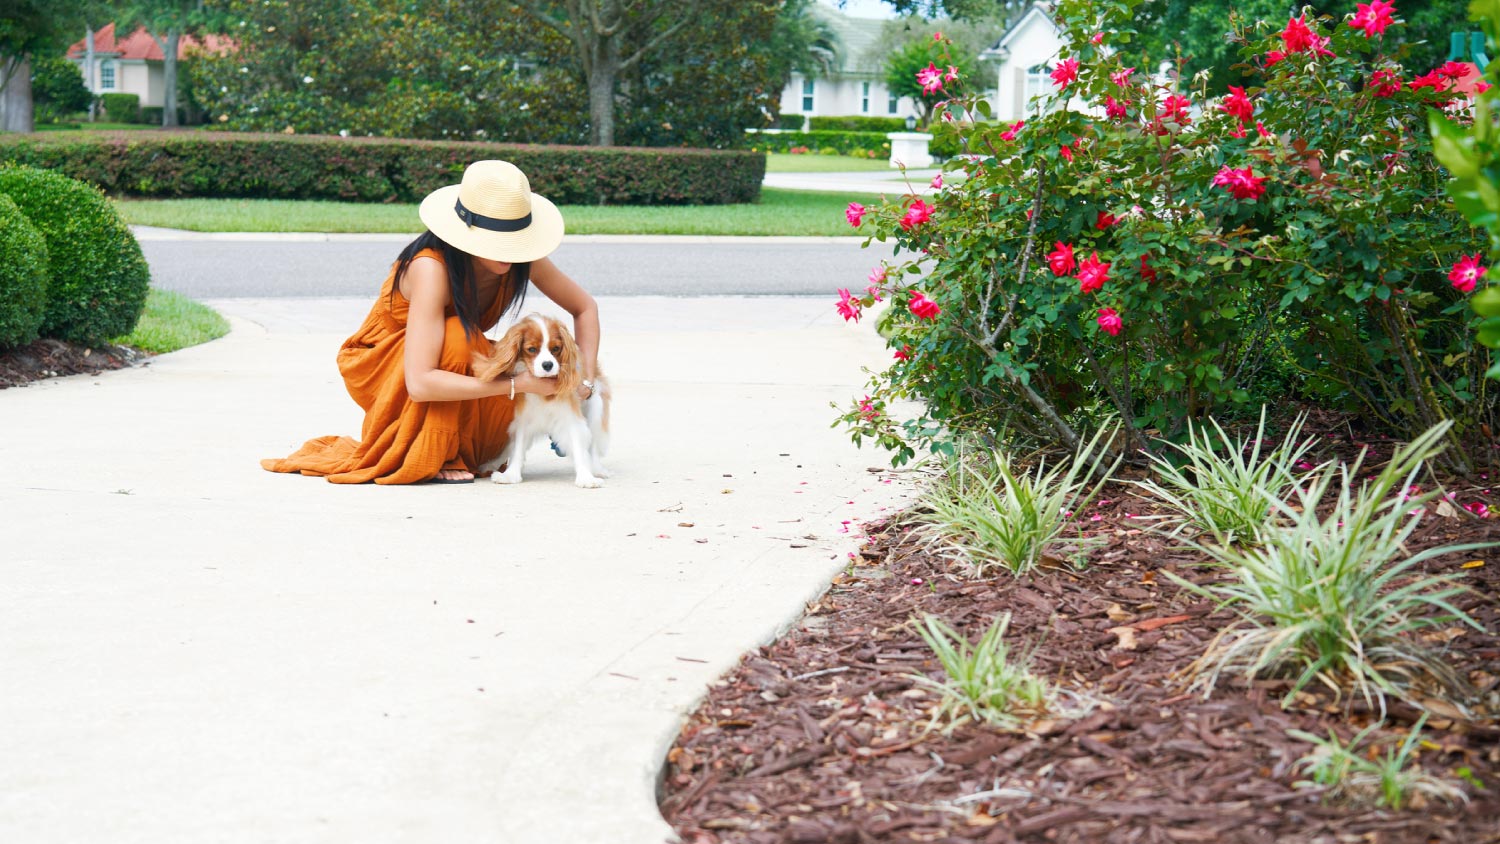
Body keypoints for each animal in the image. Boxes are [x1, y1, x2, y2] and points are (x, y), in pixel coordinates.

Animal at [468, 313, 609, 488]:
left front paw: (585, 477)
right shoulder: (523, 418)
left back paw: (596, 469)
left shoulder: (572, 418)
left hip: (595, 409)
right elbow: (518, 447)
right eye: (532, 349)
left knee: (593, 444)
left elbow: (579, 446)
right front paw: (511, 475)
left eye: (555, 349)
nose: (547, 364)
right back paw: (492, 464)